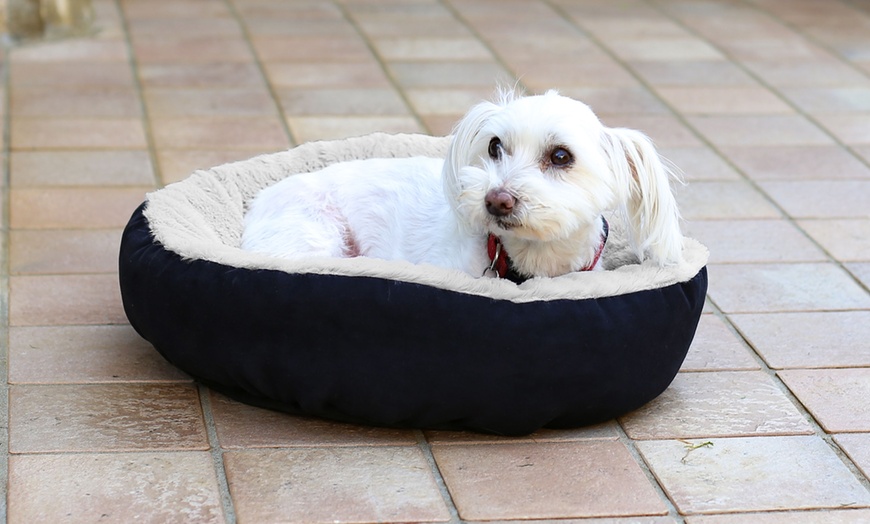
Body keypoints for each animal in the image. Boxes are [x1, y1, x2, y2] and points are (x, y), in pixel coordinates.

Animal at [242, 92, 684, 284]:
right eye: (494, 146)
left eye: (561, 156)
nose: (496, 199)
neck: (527, 264)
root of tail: (257, 205)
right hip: (313, 237)